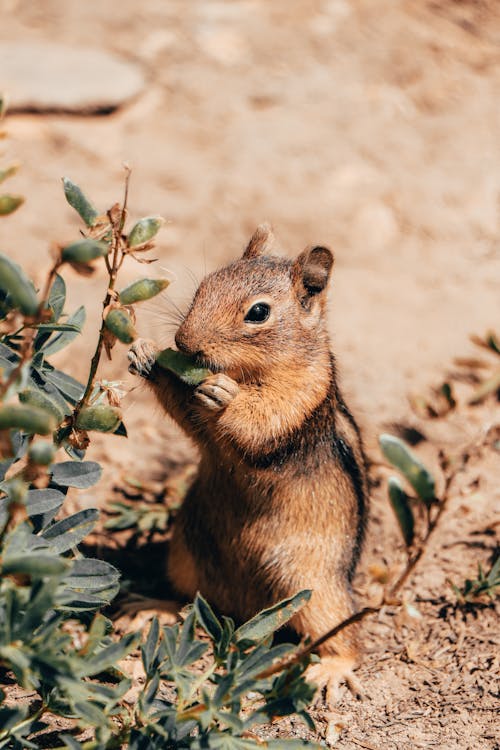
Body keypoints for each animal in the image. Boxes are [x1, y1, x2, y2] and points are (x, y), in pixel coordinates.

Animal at [128, 226, 372, 704]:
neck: (249, 372)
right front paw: (147, 355)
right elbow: (190, 416)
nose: (183, 344)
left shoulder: (302, 396)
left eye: (258, 313)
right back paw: (151, 607)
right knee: (191, 599)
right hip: (186, 556)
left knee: (345, 634)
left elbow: (261, 422)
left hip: (315, 587)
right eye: (203, 287)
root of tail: (246, 610)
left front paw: (225, 396)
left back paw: (331, 669)